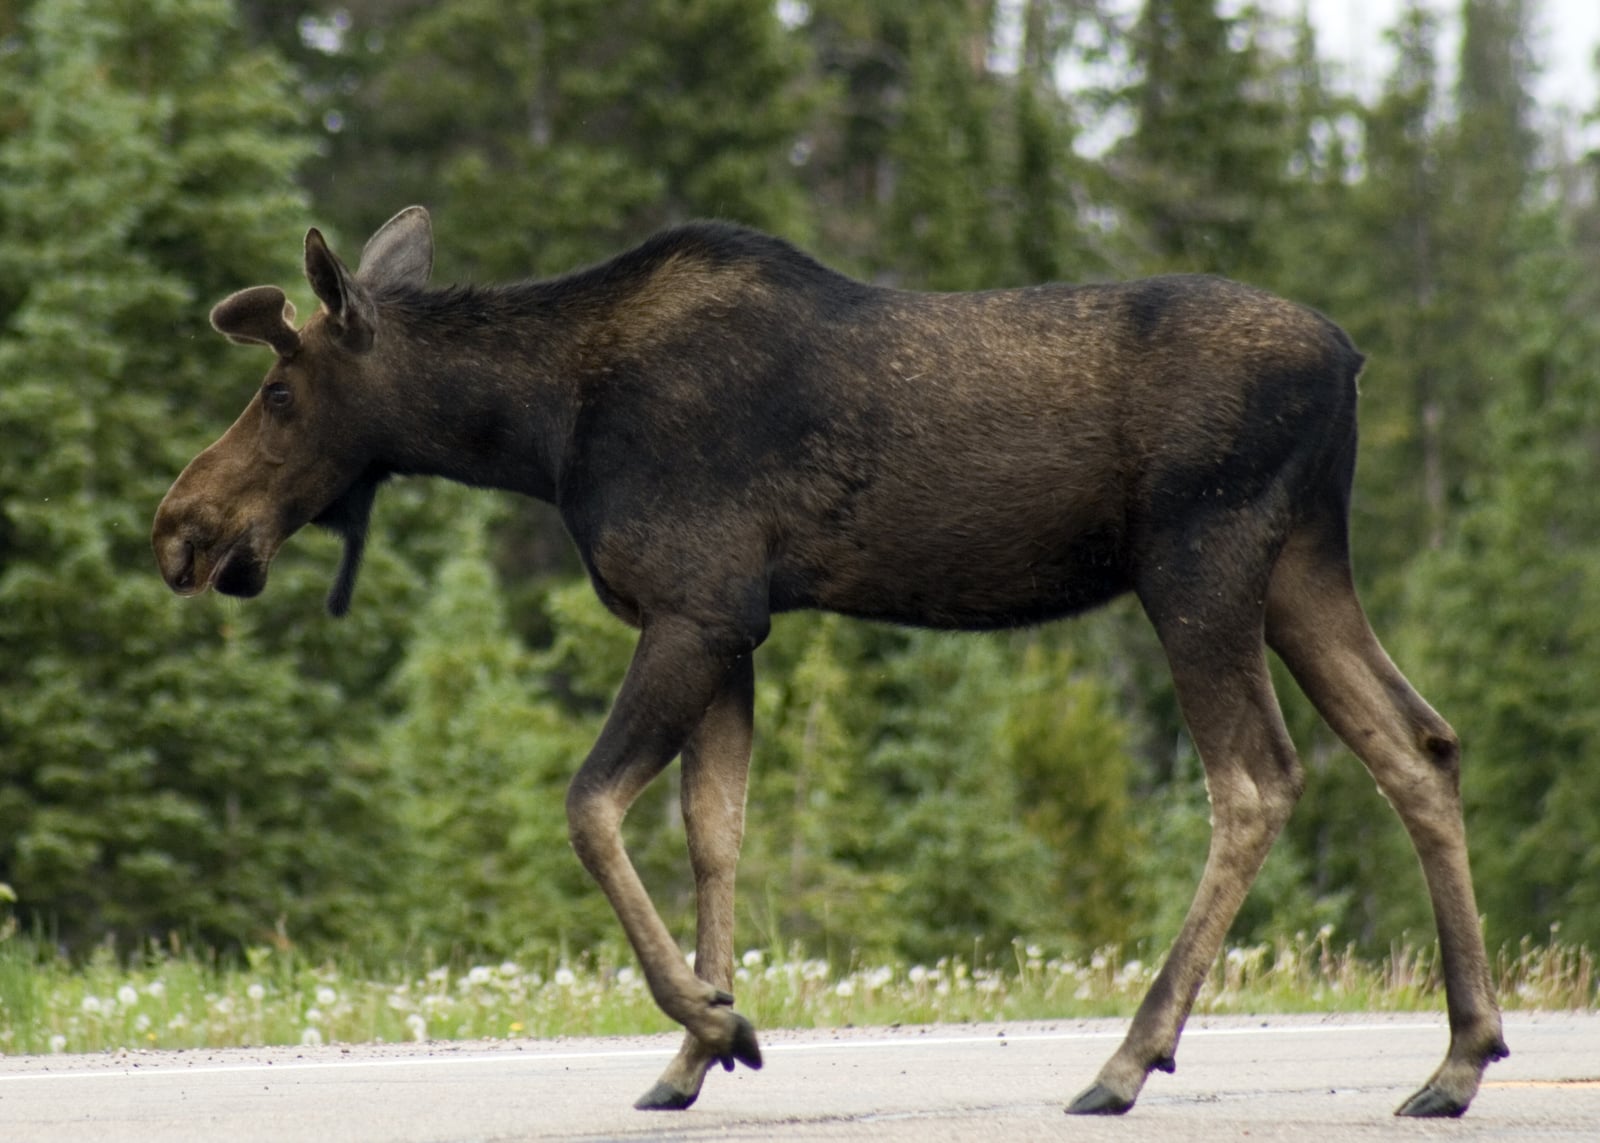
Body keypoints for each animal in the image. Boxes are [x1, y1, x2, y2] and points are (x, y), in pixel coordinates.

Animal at [156, 204, 1504, 1114]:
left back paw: (1127, 1059)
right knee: (1418, 742)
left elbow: (590, 806)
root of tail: (1351, 365)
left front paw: (715, 1021)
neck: (539, 433)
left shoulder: (696, 604)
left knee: (1258, 778)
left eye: (280, 392)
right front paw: (693, 1050)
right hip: (1301, 566)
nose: (181, 527)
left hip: (1200, 561)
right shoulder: (730, 623)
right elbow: (714, 829)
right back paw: (1457, 1057)